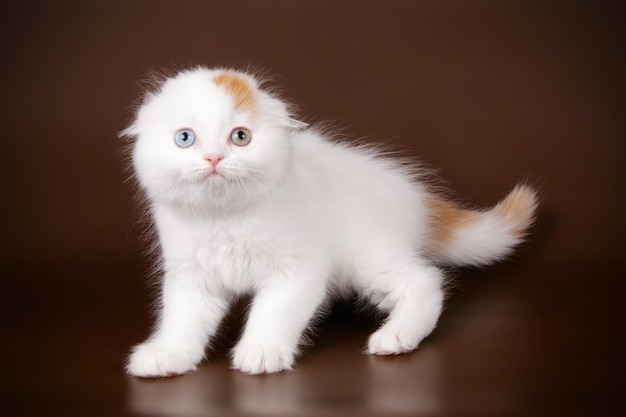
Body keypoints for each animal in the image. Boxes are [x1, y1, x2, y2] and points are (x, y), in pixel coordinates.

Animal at [120, 66, 536, 376]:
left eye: (240, 137)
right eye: (185, 138)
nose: (213, 159)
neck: (226, 218)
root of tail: (412, 194)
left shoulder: (297, 270)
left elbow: (273, 313)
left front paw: (261, 350)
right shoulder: (190, 276)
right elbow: (181, 319)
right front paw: (167, 354)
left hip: (369, 258)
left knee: (426, 281)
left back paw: (398, 336)